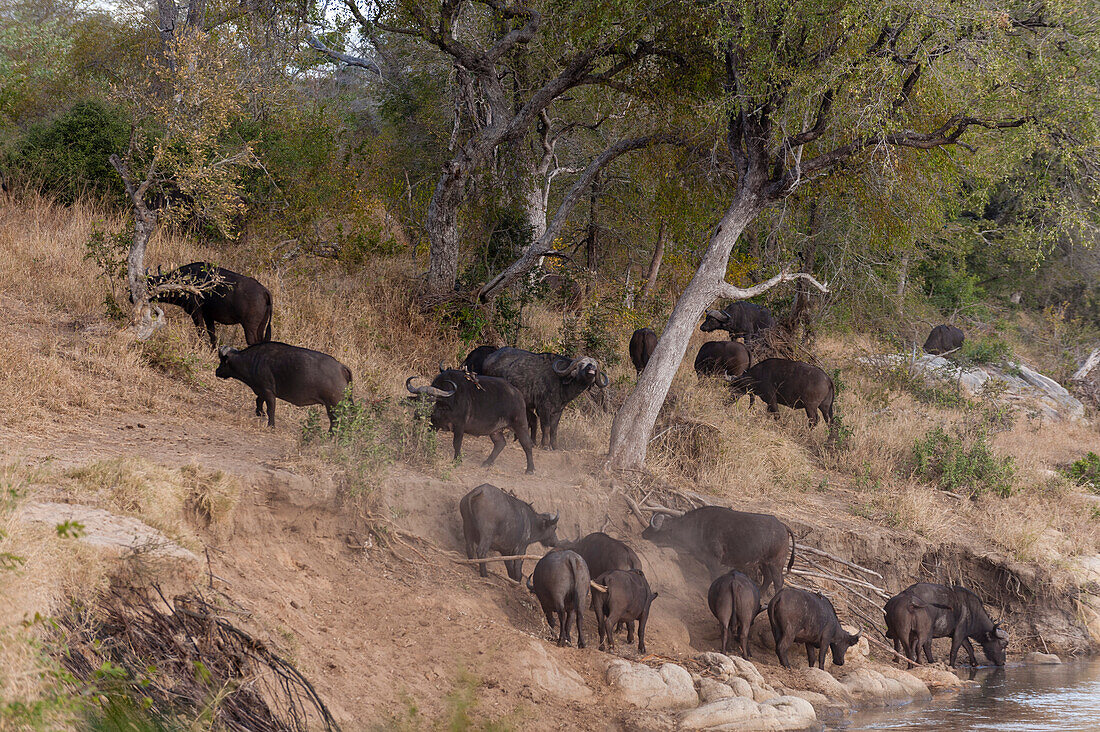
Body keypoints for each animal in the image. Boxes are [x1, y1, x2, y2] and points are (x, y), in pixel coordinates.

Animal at [212, 341, 349, 429]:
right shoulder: (261, 390)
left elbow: (270, 409)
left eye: (222, 360)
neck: (253, 360)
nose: (216, 371)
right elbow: (258, 400)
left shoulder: (268, 392)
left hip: (333, 405)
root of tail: (341, 367)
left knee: (336, 420)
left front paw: (271, 425)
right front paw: (259, 413)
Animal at [642, 506, 796, 590]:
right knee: (768, 579)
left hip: (776, 563)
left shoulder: (714, 560)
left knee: (778, 582)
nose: (644, 533)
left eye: (655, 529)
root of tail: (783, 526)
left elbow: (714, 576)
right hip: (763, 563)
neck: (698, 527)